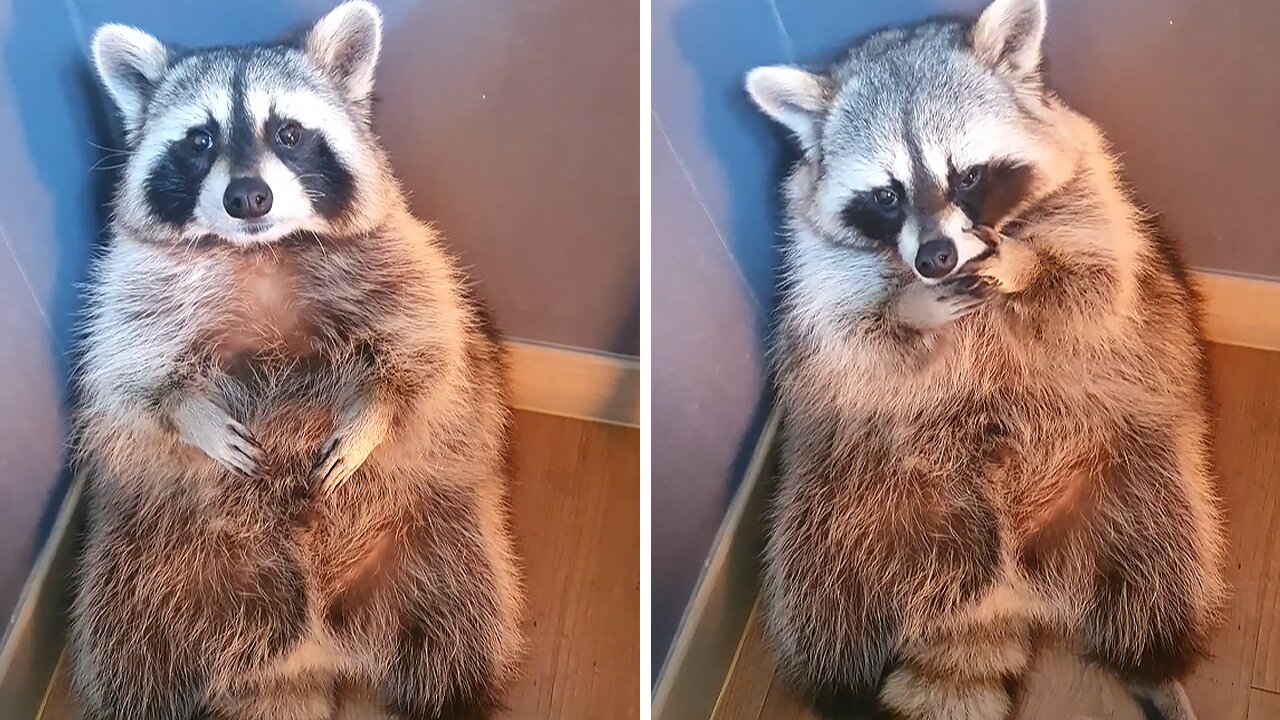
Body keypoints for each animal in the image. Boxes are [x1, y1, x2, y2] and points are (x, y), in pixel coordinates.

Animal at [67, 2, 519, 712]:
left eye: (288, 133)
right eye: (200, 140)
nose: (248, 197)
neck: (260, 250)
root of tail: (306, 657)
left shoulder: (407, 259)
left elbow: (427, 351)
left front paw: (374, 412)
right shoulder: (128, 287)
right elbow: (128, 378)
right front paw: (188, 409)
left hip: (440, 539)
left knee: (459, 628)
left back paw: (454, 697)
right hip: (148, 562)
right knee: (132, 652)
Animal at [747, 1, 1228, 717]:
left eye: (967, 176)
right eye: (887, 194)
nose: (935, 258)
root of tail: (999, 587)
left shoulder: (1095, 200)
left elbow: (1094, 292)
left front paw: (1025, 267)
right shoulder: (817, 272)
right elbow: (855, 343)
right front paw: (909, 311)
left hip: (1138, 479)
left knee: (1163, 573)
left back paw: (1156, 669)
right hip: (846, 504)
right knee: (824, 603)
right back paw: (844, 693)